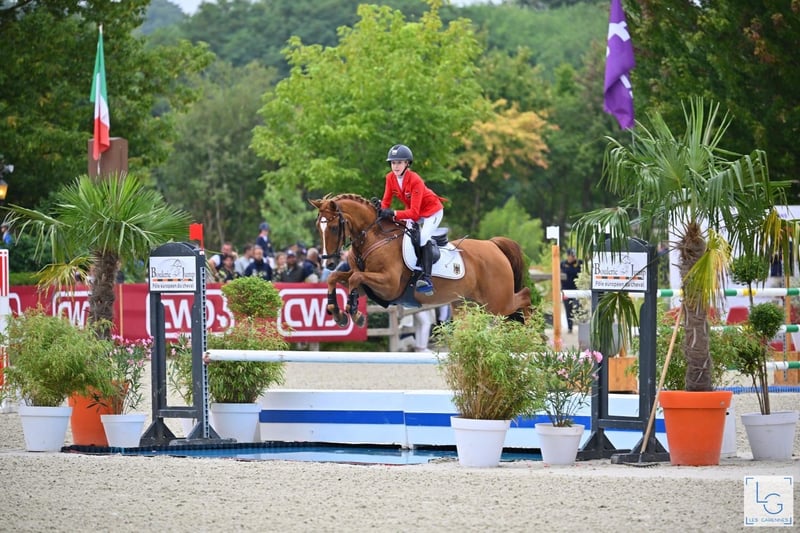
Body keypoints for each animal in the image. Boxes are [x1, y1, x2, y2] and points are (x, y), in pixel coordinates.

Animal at [309, 194, 532, 327]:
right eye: (317, 227)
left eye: (334, 228)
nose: (328, 263)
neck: (374, 238)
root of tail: (493, 245)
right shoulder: (368, 286)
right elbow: (338, 278)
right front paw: (337, 312)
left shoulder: (389, 285)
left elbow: (354, 278)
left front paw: (355, 314)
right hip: (466, 304)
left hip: (497, 303)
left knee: (525, 296)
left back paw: (530, 333)